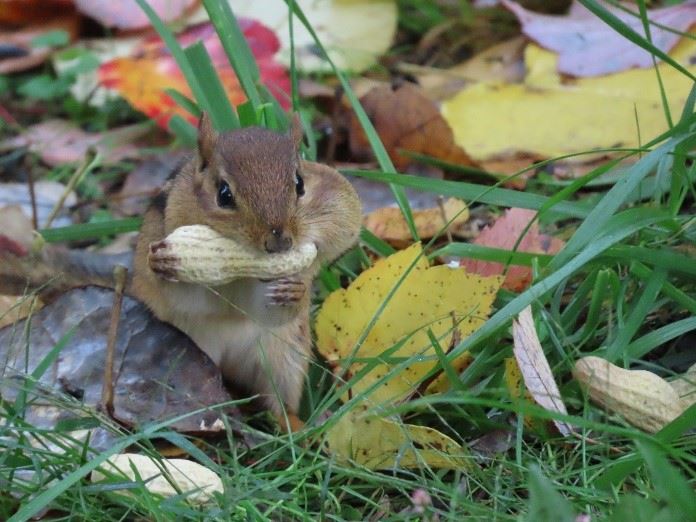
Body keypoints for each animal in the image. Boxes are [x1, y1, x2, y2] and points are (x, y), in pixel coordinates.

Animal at [5, 114, 362, 432]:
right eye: (224, 194)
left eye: (299, 184)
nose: (280, 240)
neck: (244, 275)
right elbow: (190, 297)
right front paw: (164, 265)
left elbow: (277, 307)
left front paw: (295, 289)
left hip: (285, 357)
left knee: (277, 400)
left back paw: (299, 428)